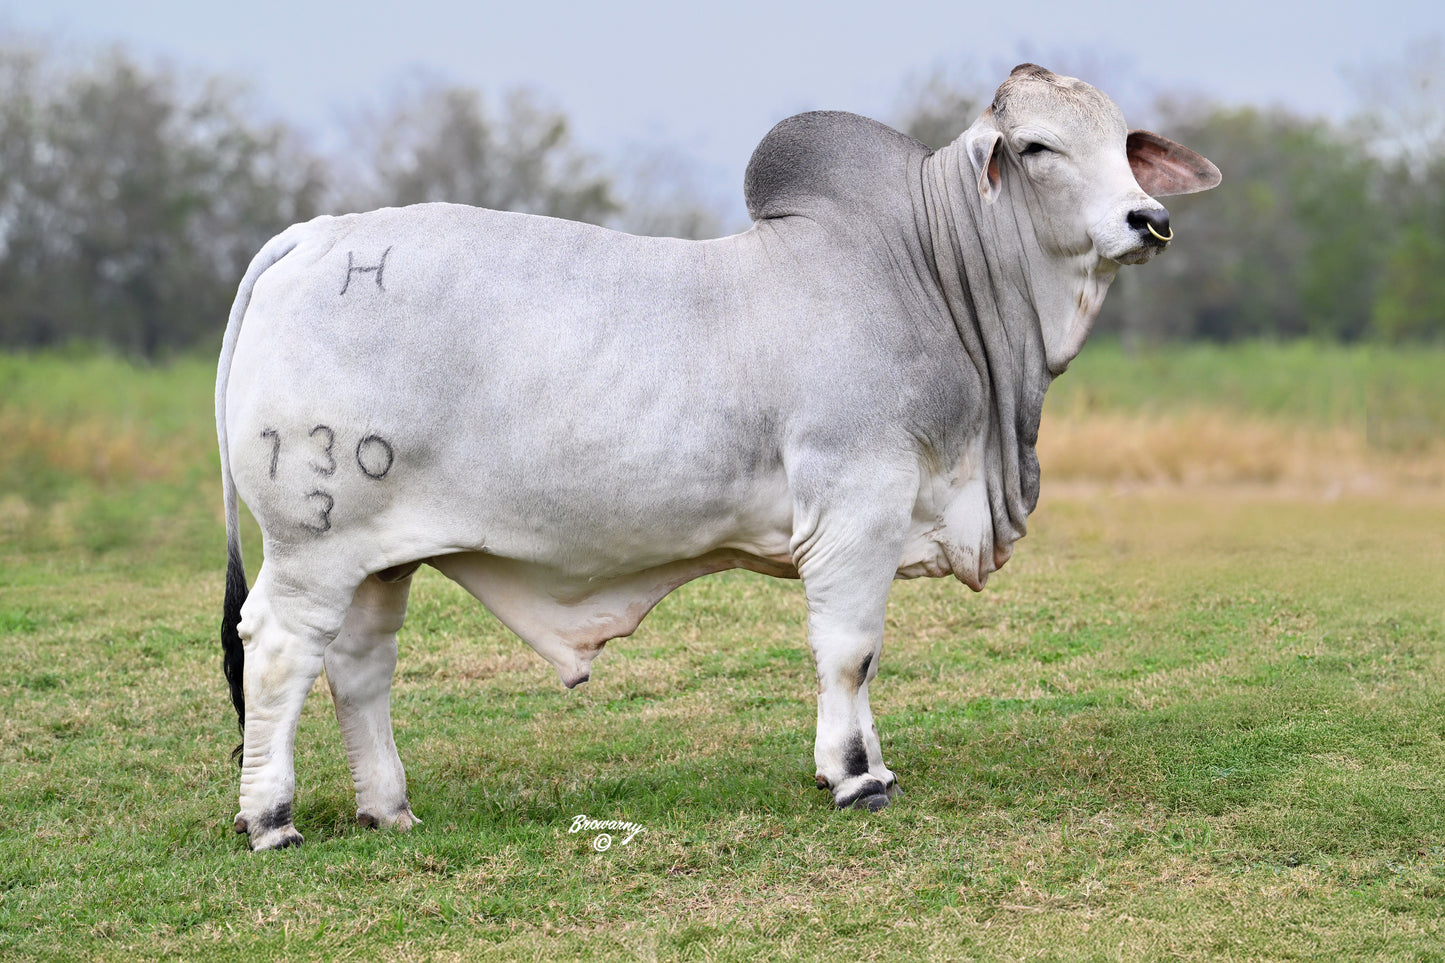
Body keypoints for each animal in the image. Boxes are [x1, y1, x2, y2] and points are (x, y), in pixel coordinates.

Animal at [217, 64, 1219, 850]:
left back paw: (389, 808)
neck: (927, 272)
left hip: (377, 556)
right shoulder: (856, 507)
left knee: (359, 665)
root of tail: (314, 235)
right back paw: (271, 818)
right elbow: (849, 649)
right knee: (277, 653)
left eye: (1123, 145)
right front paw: (855, 776)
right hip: (312, 541)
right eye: (1039, 147)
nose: (1148, 219)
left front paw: (859, 763)